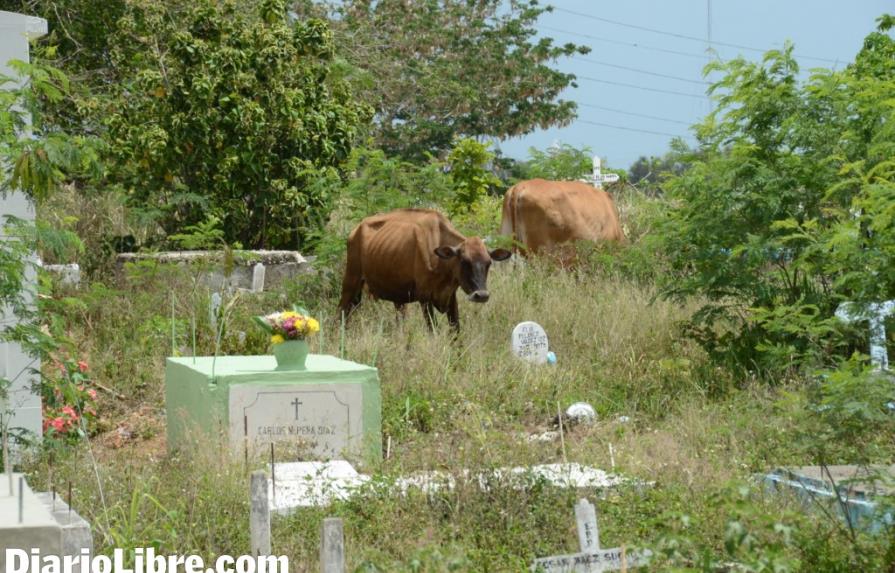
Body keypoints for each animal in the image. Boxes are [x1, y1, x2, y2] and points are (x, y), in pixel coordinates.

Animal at [336, 208, 512, 328]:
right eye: (464, 261)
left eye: (488, 263)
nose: (481, 295)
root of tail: (356, 229)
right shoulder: (425, 299)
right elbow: (433, 331)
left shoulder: (451, 298)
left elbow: (456, 333)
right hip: (351, 281)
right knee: (341, 312)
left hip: (397, 297)